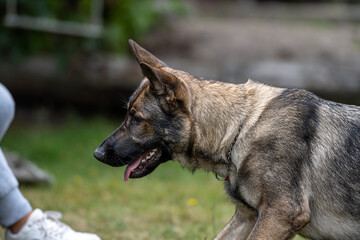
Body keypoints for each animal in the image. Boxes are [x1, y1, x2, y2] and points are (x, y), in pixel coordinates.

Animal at [95, 40, 360, 239]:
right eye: (128, 115)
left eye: (136, 118)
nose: (97, 154)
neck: (240, 130)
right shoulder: (246, 217)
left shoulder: (281, 214)